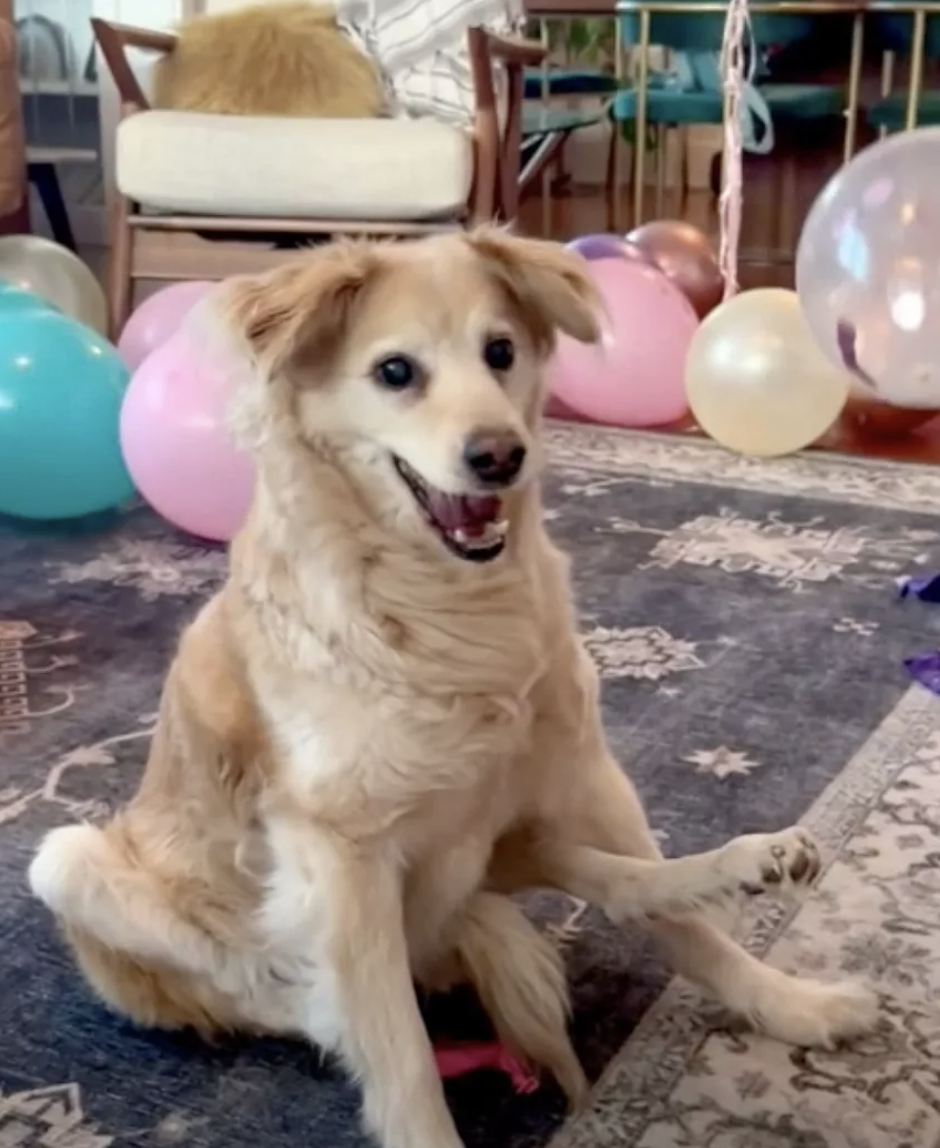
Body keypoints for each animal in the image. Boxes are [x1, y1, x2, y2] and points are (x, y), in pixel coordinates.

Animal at [29, 226, 881, 1148]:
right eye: (396, 371)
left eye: (500, 352)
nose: (500, 456)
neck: (448, 615)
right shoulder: (341, 858)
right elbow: (399, 1054)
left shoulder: (579, 769)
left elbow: (683, 928)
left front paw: (786, 1002)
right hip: (68, 860)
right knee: (298, 999)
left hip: (496, 839)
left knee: (624, 886)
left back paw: (758, 864)